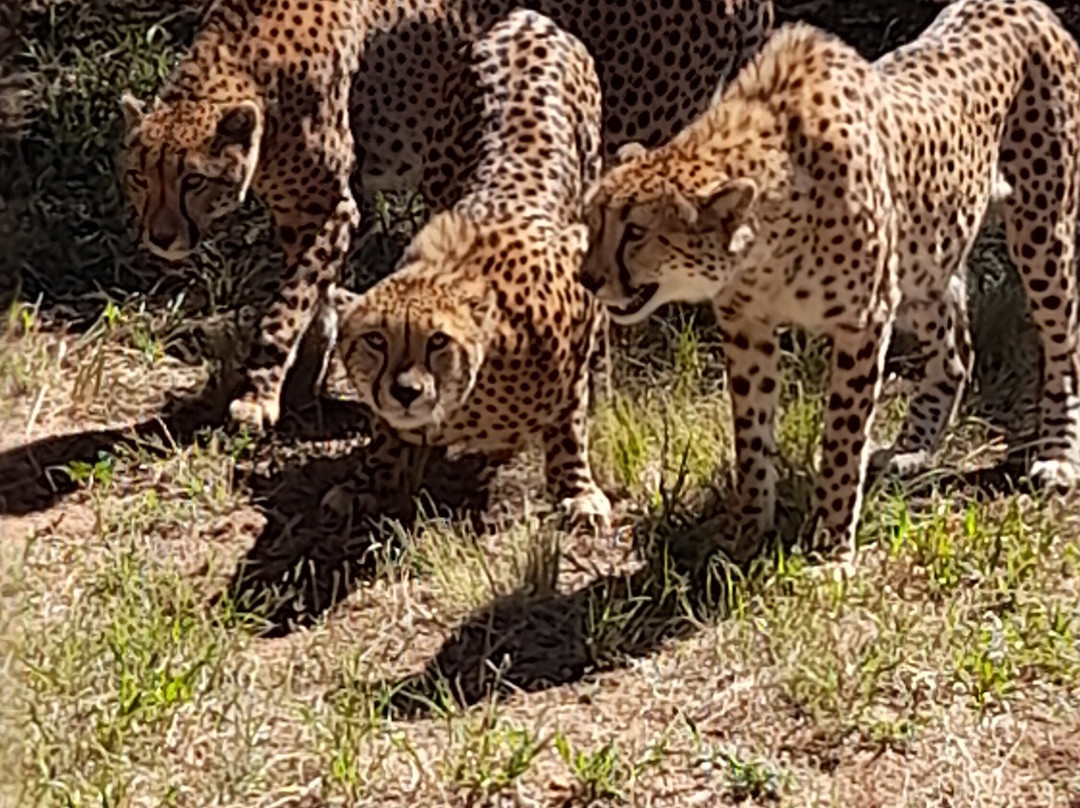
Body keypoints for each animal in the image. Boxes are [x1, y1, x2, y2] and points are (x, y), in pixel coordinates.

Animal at [119, 0, 774, 434]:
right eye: (139, 178)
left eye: (194, 180)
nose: (161, 238)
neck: (241, 61)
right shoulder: (317, 210)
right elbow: (317, 298)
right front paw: (306, 386)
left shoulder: (329, 207)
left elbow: (286, 307)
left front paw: (259, 396)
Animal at [327, 9, 609, 528]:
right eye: (376, 340)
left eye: (438, 341)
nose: (405, 391)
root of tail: (526, 17)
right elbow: (386, 434)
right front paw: (369, 481)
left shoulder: (579, 307)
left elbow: (569, 418)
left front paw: (577, 491)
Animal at [580, 0, 1080, 560]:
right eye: (593, 221)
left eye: (636, 232)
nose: (587, 278)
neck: (764, 243)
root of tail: (1023, 7)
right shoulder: (748, 329)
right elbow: (751, 435)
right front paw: (746, 531)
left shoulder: (862, 323)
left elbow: (842, 438)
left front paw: (829, 547)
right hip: (920, 263)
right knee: (954, 353)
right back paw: (913, 450)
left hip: (1041, 230)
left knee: (1062, 346)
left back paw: (1058, 456)